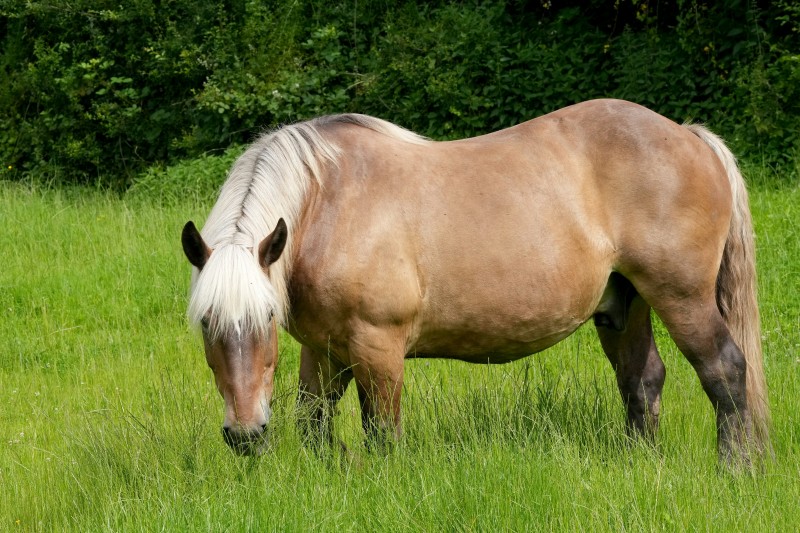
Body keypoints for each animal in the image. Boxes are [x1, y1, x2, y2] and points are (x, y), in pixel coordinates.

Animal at [181, 99, 769, 464]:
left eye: (264, 317)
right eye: (207, 323)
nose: (245, 435)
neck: (328, 205)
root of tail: (690, 136)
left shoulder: (377, 347)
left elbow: (382, 434)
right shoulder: (323, 350)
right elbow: (314, 424)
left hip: (681, 296)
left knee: (725, 371)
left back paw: (736, 468)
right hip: (625, 305)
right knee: (643, 380)